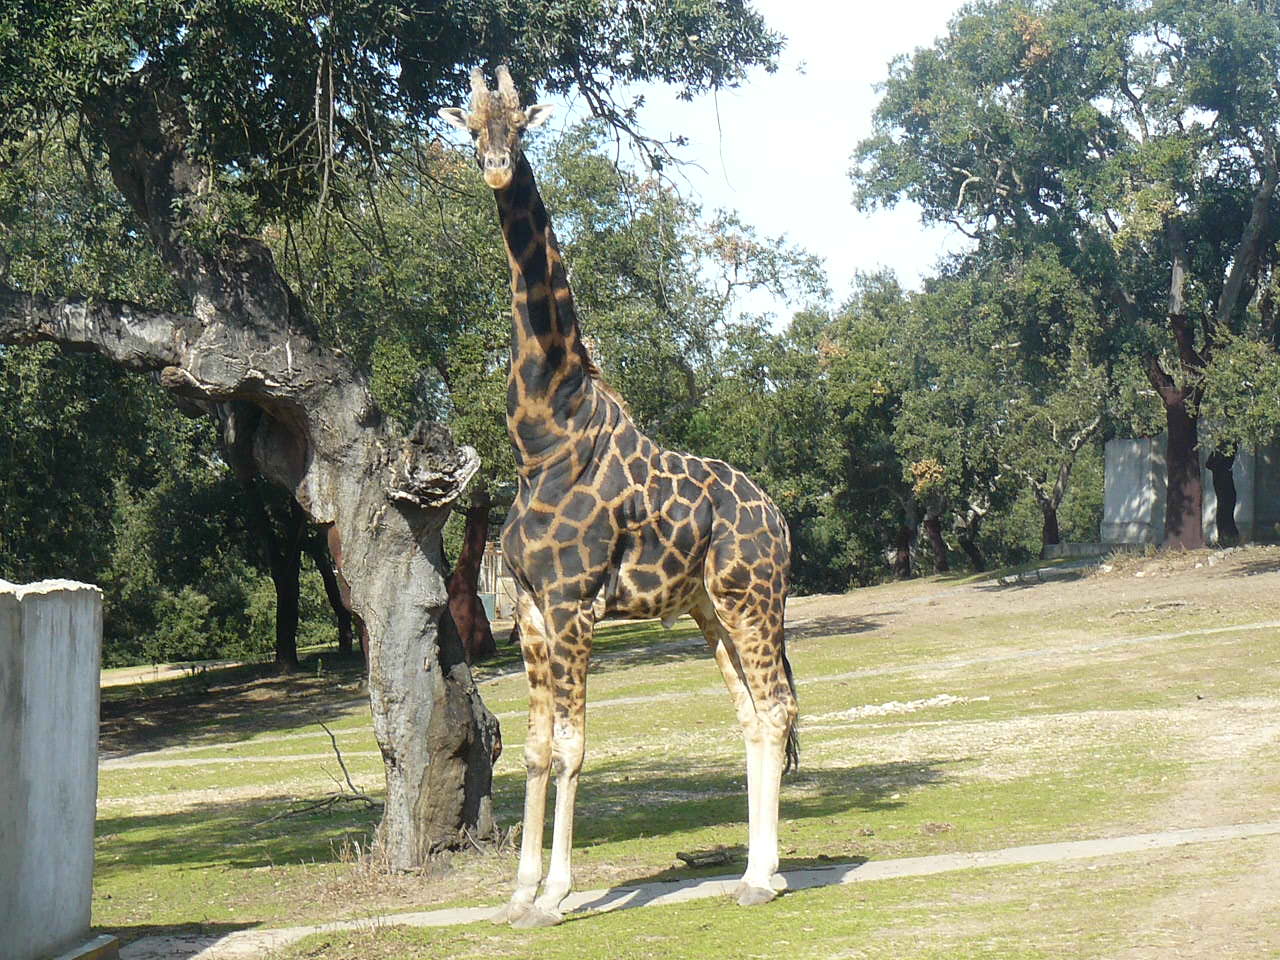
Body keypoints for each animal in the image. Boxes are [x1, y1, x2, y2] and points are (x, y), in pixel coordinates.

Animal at [440, 67, 798, 929]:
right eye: (471, 127)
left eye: (520, 125)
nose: (496, 167)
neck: (543, 431)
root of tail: (779, 520)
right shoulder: (532, 609)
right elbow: (535, 748)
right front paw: (519, 892)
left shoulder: (574, 603)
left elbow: (573, 746)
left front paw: (555, 896)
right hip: (710, 608)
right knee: (749, 716)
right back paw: (759, 873)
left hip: (755, 599)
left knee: (776, 709)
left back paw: (759, 878)